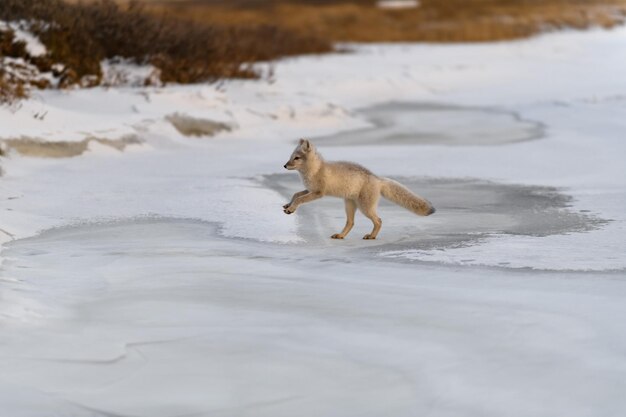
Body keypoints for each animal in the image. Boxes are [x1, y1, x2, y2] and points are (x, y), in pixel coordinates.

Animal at [282, 139, 434, 239]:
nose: (284, 166)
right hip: (350, 204)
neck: (315, 170)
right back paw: (340, 235)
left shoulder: (318, 192)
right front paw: (288, 206)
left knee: (379, 220)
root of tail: (377, 179)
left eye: (296, 158)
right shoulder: (309, 190)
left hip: (364, 207)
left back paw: (371, 236)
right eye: (290, 157)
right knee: (351, 222)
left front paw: (291, 208)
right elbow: (296, 194)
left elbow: (300, 199)